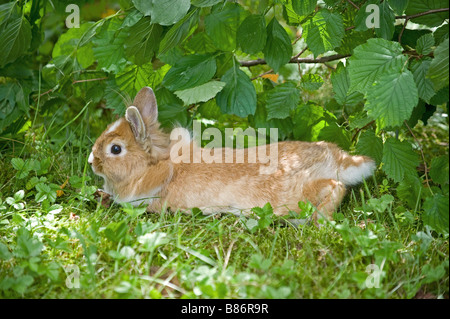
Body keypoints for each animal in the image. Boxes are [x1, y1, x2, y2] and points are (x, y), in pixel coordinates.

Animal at [89, 87, 376, 222]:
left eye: (115, 149)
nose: (92, 162)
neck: (155, 165)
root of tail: (336, 158)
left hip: (297, 195)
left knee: (336, 187)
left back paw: (317, 219)